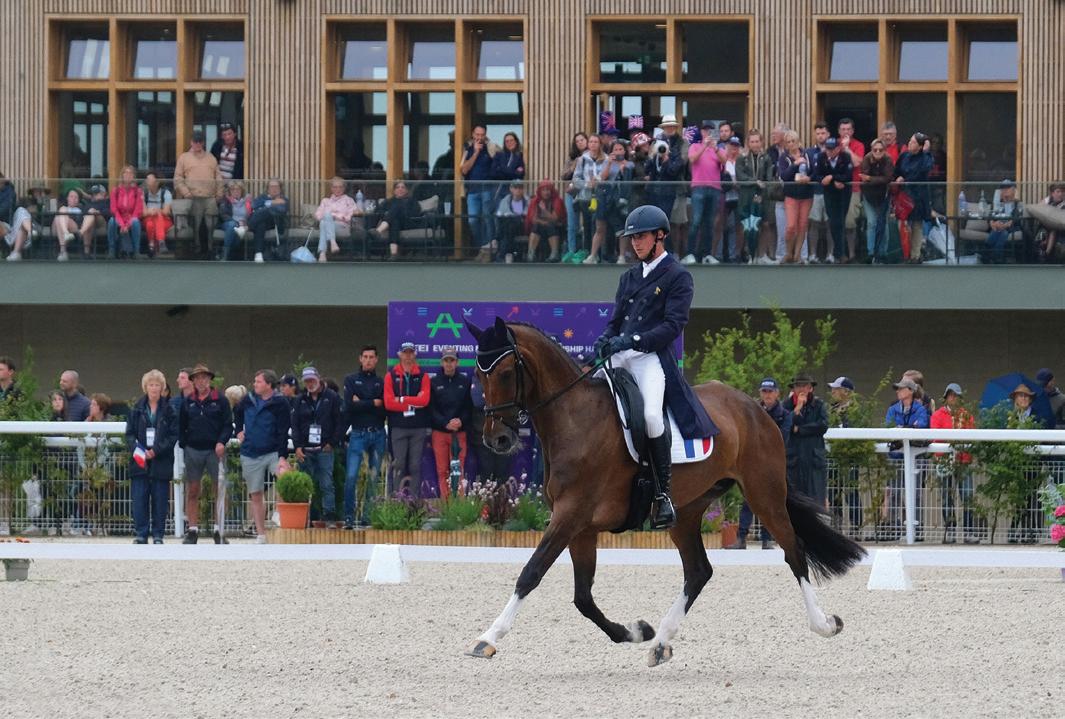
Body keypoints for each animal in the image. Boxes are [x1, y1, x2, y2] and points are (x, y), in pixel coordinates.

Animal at [464, 317, 866, 667]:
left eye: (504, 373)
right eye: (478, 375)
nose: (497, 439)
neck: (575, 417)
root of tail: (754, 407)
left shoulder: (571, 514)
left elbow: (532, 572)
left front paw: (487, 638)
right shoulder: (581, 526)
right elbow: (583, 597)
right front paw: (636, 631)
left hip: (763, 493)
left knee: (793, 551)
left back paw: (825, 624)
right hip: (687, 510)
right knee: (699, 571)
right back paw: (660, 642)